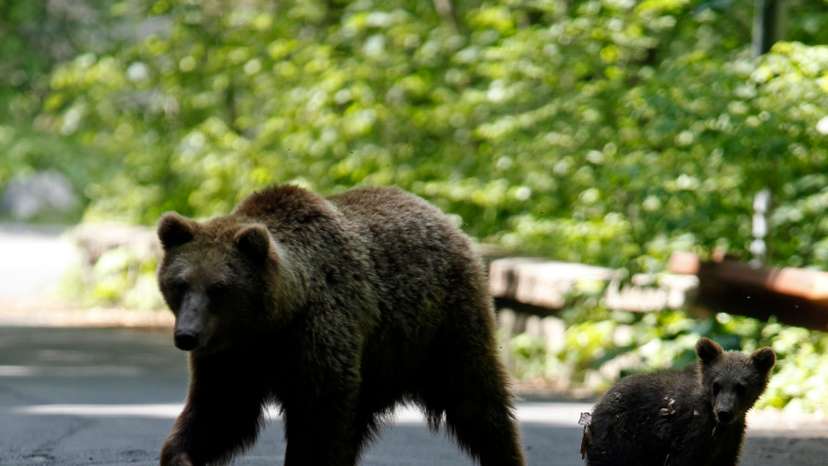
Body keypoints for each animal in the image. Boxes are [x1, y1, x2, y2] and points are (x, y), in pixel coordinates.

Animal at [155, 185, 526, 466]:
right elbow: (222, 411)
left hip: (443, 325)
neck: (273, 322)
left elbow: (319, 420)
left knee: (477, 399)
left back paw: (504, 454)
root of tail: (443, 217)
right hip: (379, 361)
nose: (187, 336)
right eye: (180, 283)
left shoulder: (317, 335)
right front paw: (181, 456)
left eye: (218, 287)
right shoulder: (232, 357)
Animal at [581, 337, 775, 466]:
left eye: (741, 387)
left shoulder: (729, 441)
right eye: (716, 385)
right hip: (620, 438)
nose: (724, 412)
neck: (716, 428)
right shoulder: (688, 434)